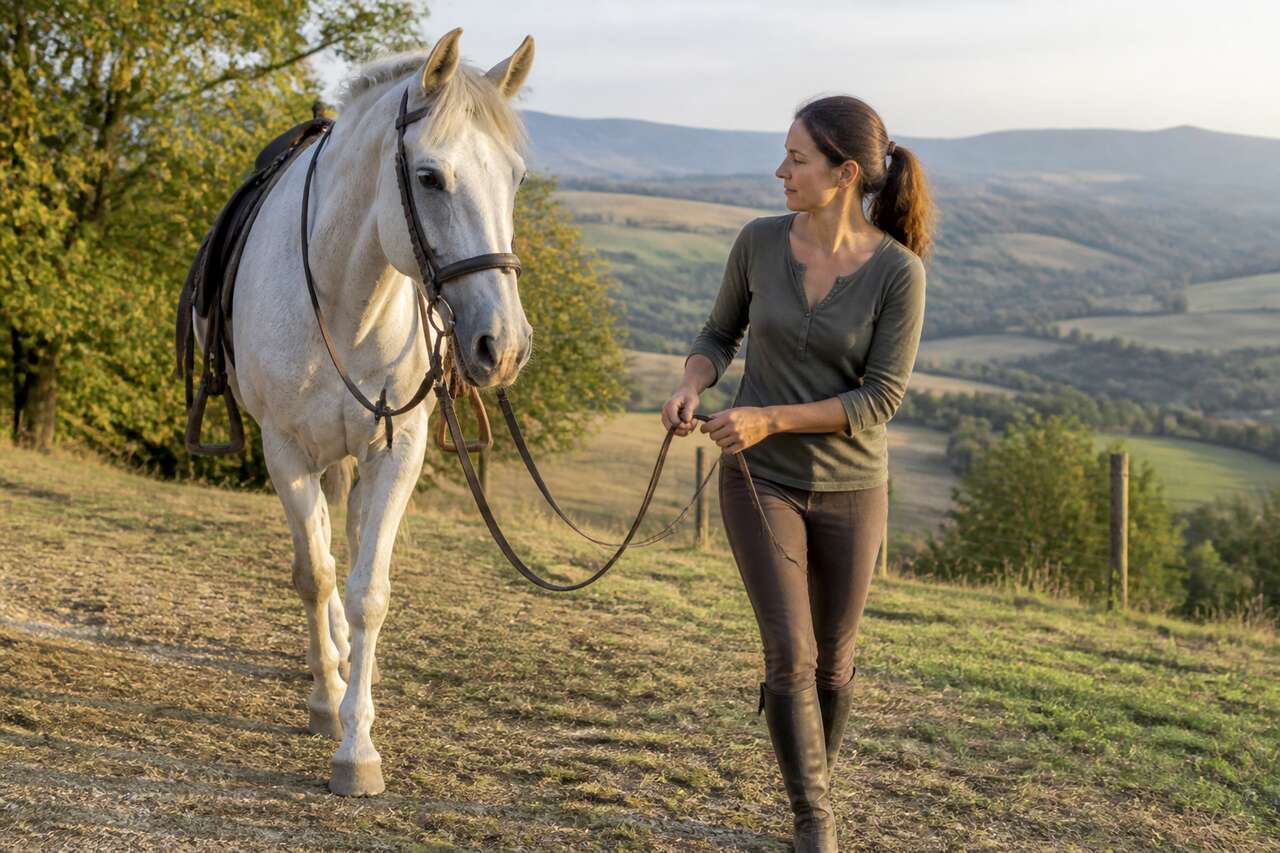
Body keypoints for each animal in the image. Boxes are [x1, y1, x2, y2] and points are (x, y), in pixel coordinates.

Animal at [190, 29, 536, 796]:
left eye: (516, 178)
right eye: (430, 177)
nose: (501, 346)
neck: (345, 297)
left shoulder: (396, 447)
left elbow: (367, 588)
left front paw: (359, 744)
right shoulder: (285, 450)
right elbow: (314, 574)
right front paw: (328, 706)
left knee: (344, 537)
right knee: (318, 549)